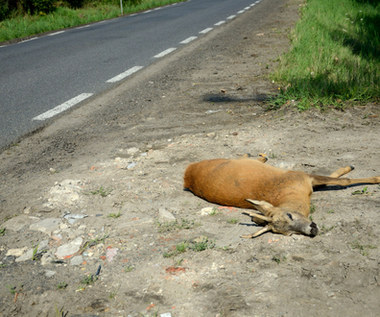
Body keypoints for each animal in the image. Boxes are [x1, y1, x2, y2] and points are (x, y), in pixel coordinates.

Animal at [184, 154, 380, 238]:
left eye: (290, 215)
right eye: (289, 233)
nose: (312, 230)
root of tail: (187, 173)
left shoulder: (301, 176)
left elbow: (343, 180)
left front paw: (376, 177)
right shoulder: (303, 179)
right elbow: (336, 180)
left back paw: (261, 156)